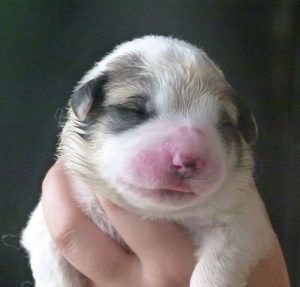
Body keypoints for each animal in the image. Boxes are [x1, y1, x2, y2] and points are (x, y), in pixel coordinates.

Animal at [21, 35, 276, 286]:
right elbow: (54, 270)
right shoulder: (44, 227)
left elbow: (215, 268)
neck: (156, 212)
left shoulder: (242, 224)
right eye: (136, 111)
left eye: (223, 125)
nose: (187, 160)